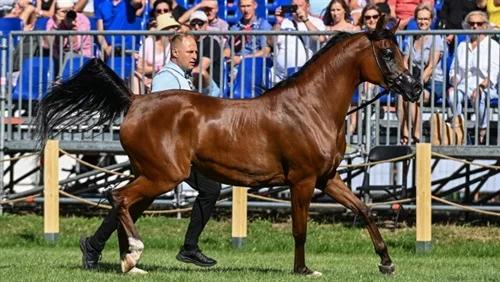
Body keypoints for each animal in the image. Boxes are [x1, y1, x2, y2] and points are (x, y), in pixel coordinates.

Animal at [35, 19, 420, 276]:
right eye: (388, 53)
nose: (415, 89)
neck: (312, 107)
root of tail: (135, 101)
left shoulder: (328, 178)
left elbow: (364, 209)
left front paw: (386, 263)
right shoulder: (303, 181)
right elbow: (300, 229)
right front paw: (303, 269)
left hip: (152, 174)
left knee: (124, 204)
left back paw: (120, 260)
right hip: (164, 175)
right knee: (119, 198)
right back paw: (131, 256)